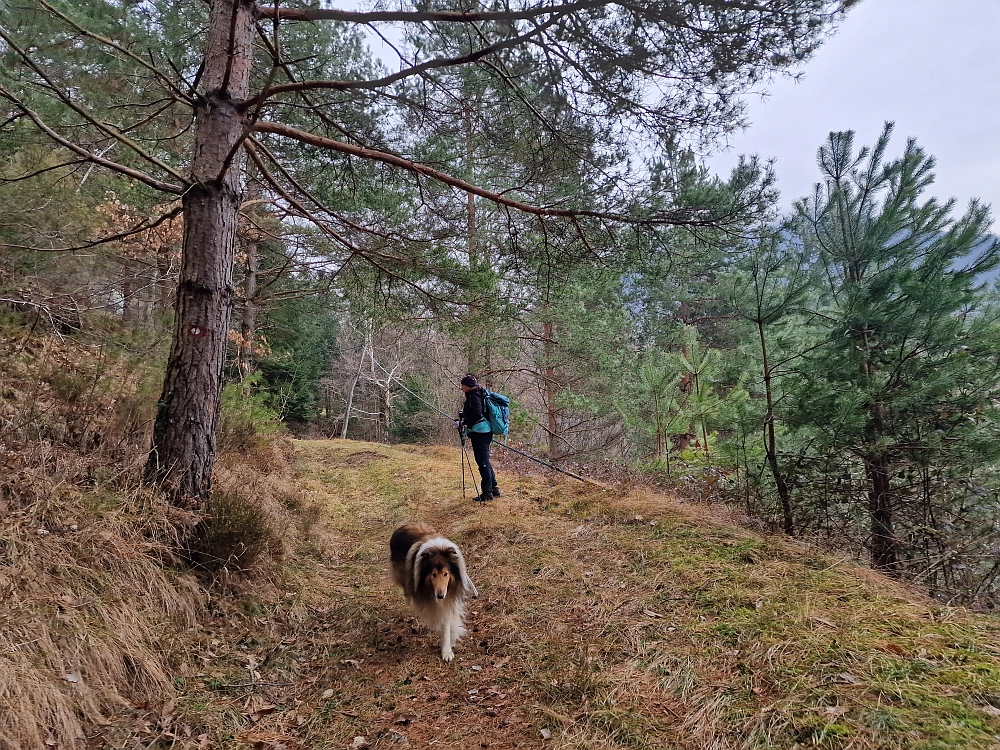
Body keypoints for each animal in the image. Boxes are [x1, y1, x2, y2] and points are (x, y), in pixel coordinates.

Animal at [388, 524, 478, 664]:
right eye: (433, 574)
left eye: (446, 573)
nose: (440, 595)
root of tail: (404, 525)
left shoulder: (448, 599)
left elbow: (446, 624)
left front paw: (447, 650)